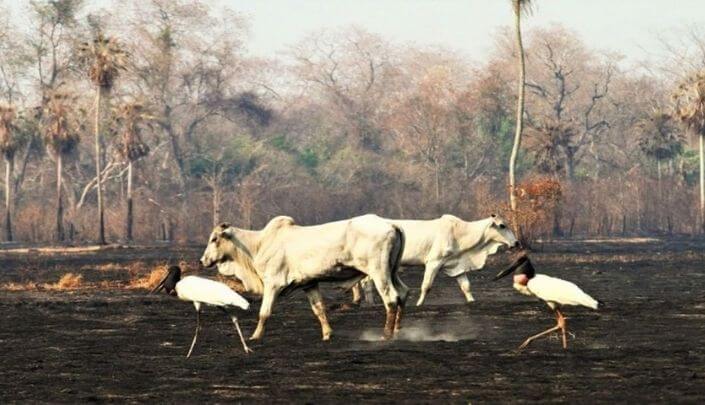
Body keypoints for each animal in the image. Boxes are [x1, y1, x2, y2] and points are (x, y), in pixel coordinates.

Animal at [198, 215, 408, 340]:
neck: (258, 244)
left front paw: (255, 336)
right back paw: (398, 330)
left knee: (391, 298)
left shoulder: (273, 283)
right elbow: (319, 309)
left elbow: (264, 312)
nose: (203, 260)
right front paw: (327, 334)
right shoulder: (309, 284)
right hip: (391, 271)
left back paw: (386, 335)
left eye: (214, 239)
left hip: (379, 272)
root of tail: (391, 224)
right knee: (403, 293)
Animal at [358, 213, 516, 304]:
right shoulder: (433, 262)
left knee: (365, 282)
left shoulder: (456, 266)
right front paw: (418, 304)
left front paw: (472, 301)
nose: (516, 243)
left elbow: (466, 286)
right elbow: (426, 286)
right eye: (502, 225)